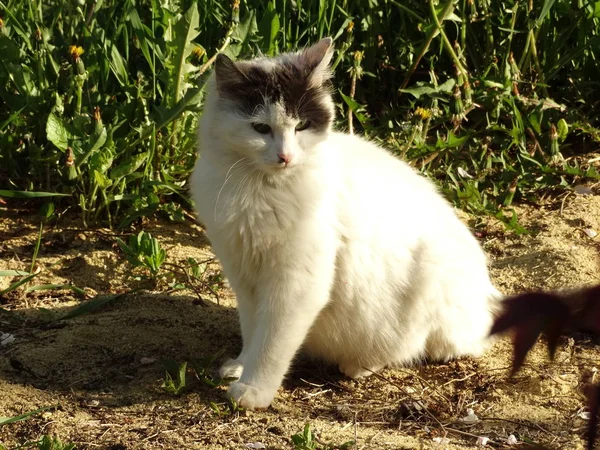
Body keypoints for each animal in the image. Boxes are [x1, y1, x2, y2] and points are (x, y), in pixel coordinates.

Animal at [190, 38, 500, 410]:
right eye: (261, 128)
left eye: (302, 126)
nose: (285, 157)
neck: (259, 188)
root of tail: (483, 304)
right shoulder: (244, 275)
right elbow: (253, 332)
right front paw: (241, 366)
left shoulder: (297, 283)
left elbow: (272, 343)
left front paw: (254, 389)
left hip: (429, 284)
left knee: (413, 347)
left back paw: (359, 364)